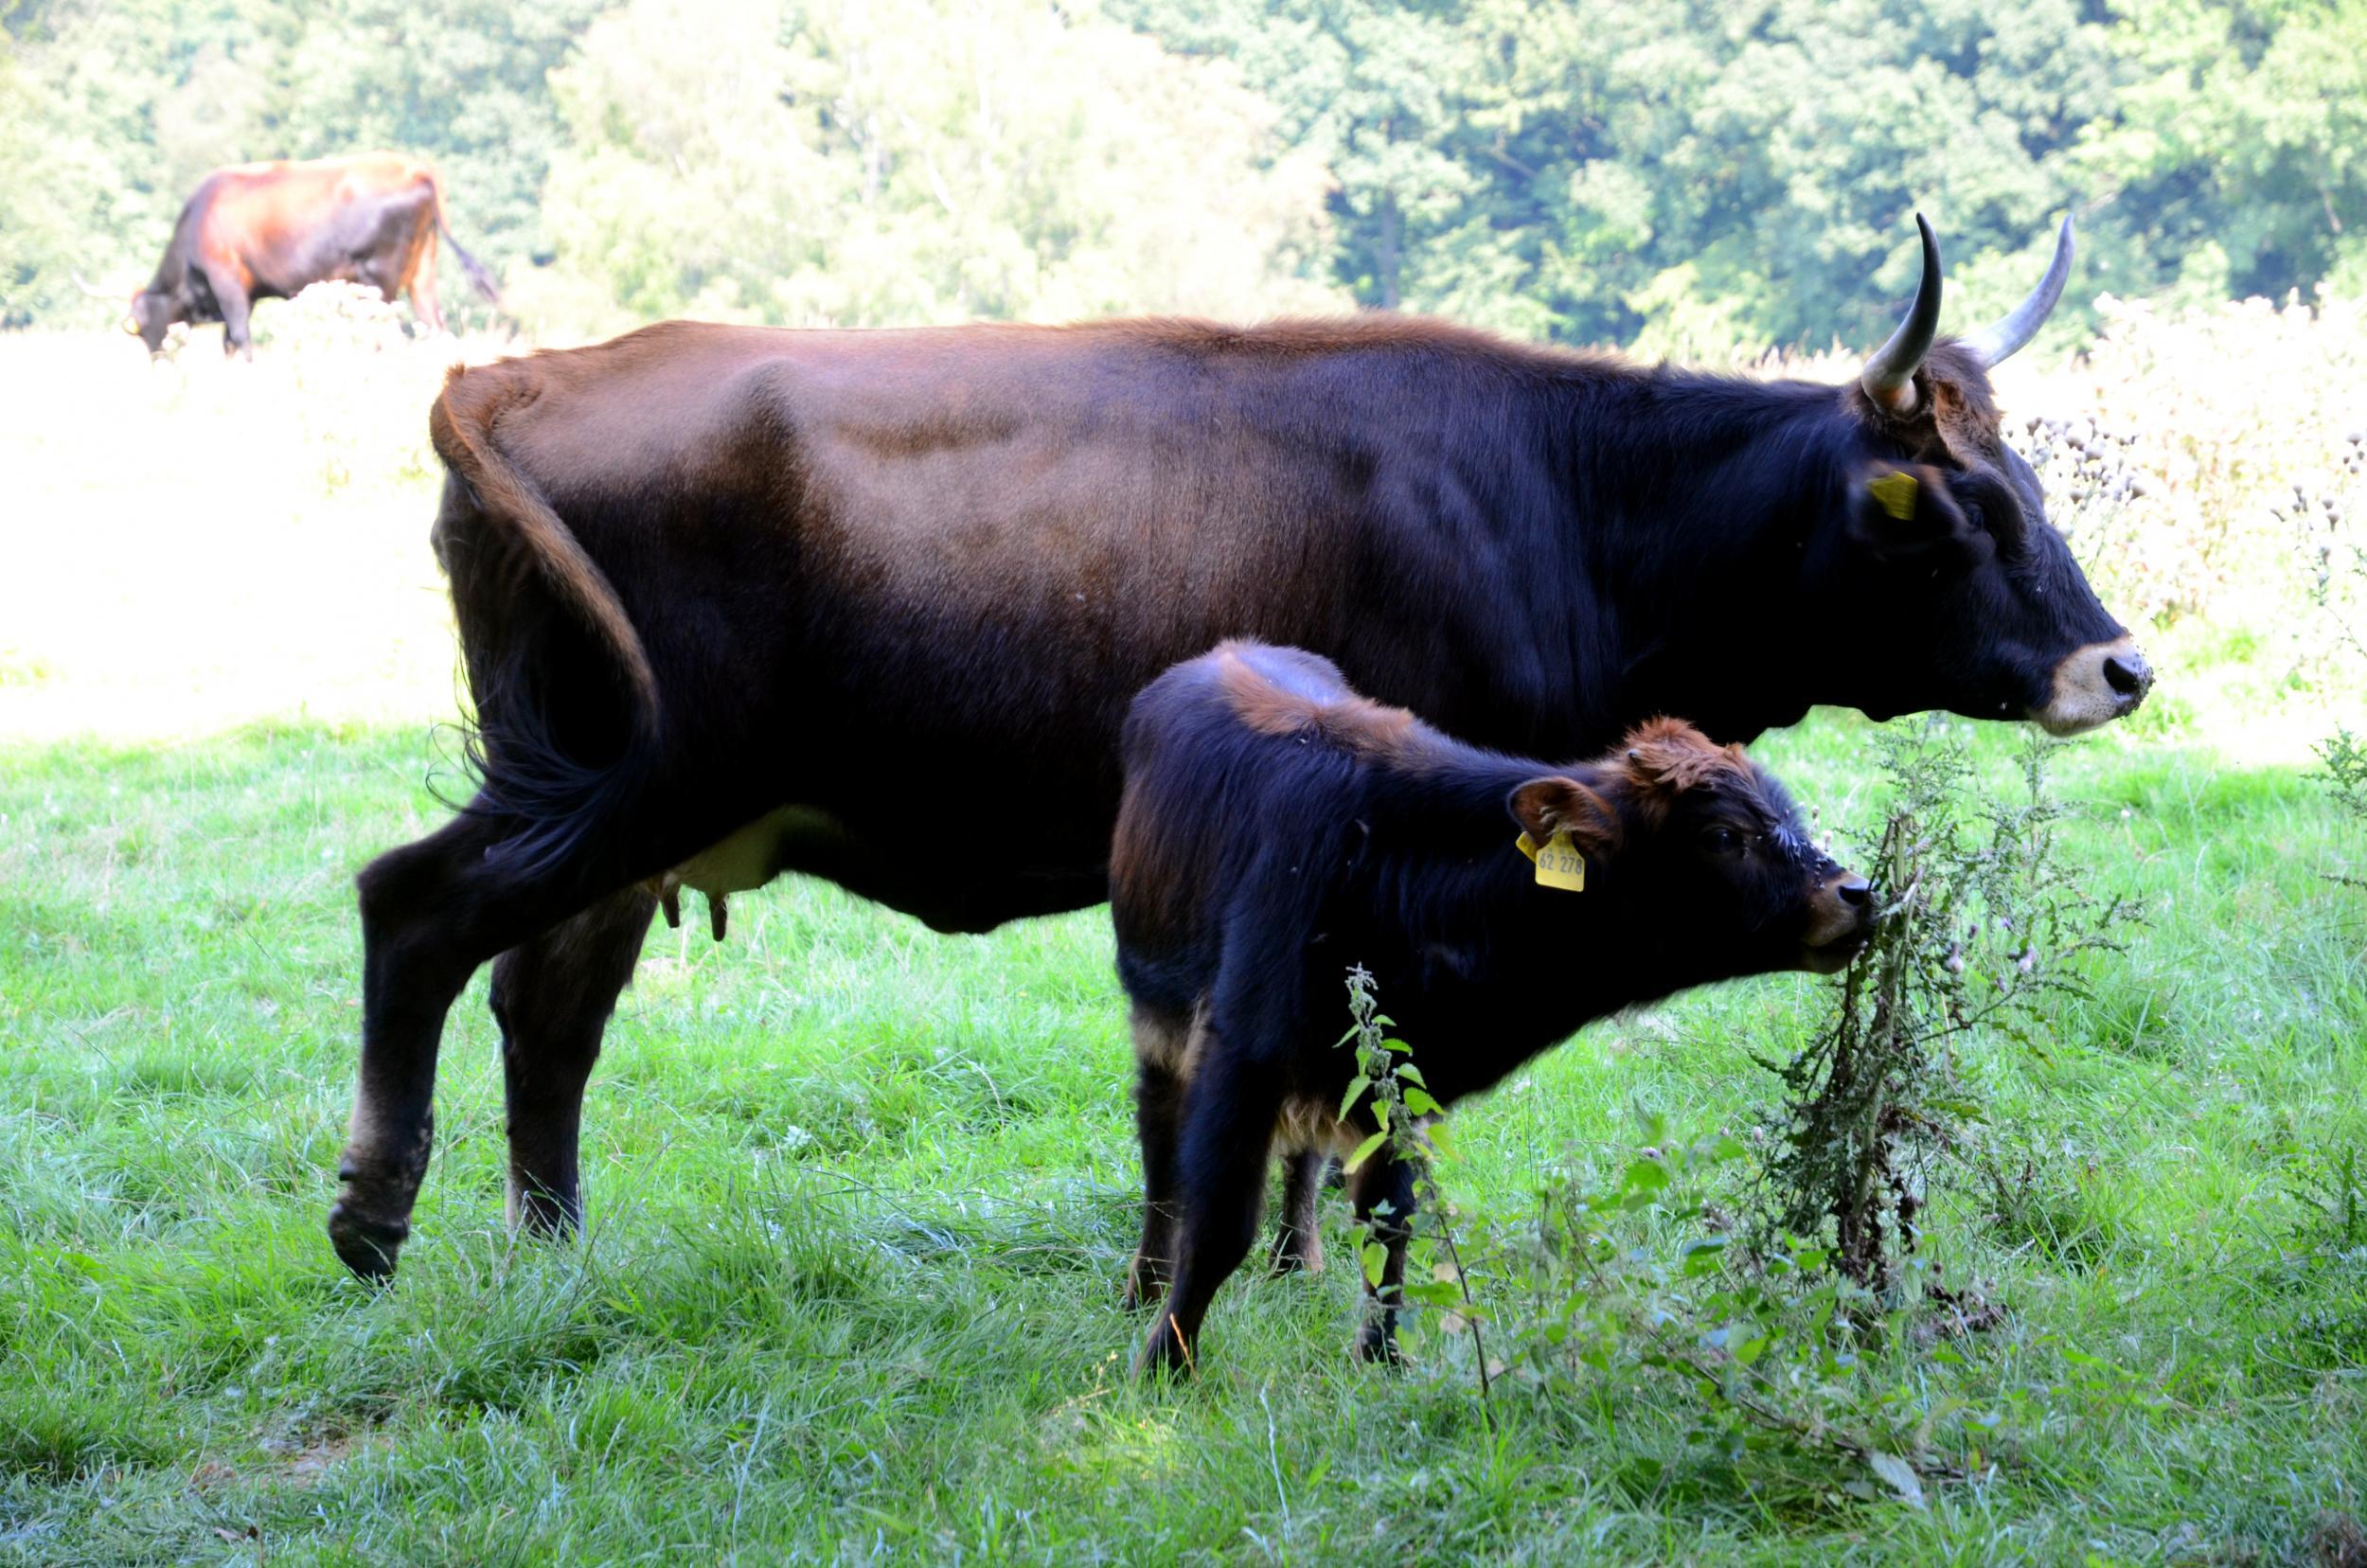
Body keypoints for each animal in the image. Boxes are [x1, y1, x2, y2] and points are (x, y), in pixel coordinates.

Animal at [117, 151, 497, 357]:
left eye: (142, 330)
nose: (158, 363)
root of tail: (415, 168)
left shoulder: (226, 279)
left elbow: (239, 337)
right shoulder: (246, 292)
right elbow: (228, 342)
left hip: (380, 277)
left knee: (389, 335)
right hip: (420, 273)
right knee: (435, 328)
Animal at [324, 215, 2159, 1288]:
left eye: (2032, 483)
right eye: (1949, 511)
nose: (2120, 664)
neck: (1564, 492)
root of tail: (528, 373)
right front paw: (1288, 1268)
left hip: (619, 809)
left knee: (544, 1009)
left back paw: (552, 1250)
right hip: (625, 781)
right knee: (415, 912)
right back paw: (373, 1219)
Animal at [1108, 644, 1865, 1373]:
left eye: (1787, 815)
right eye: (1723, 837)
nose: (1857, 893)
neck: (1392, 874)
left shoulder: (1398, 1082)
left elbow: (1390, 1221)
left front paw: (1381, 1358)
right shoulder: (1242, 1059)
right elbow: (1218, 1226)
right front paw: (1166, 1363)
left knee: (1303, 1159)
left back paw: (1296, 1262)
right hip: (1158, 1022)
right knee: (1162, 1153)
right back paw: (1146, 1284)